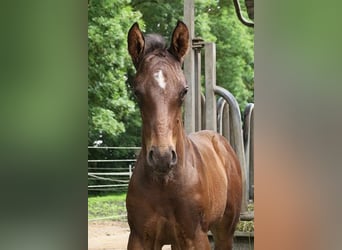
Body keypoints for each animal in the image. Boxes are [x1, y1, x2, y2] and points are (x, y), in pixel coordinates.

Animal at [126, 20, 243, 249]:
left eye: (184, 91)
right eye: (137, 92)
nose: (162, 157)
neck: (165, 183)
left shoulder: (195, 237)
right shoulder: (139, 238)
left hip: (225, 231)